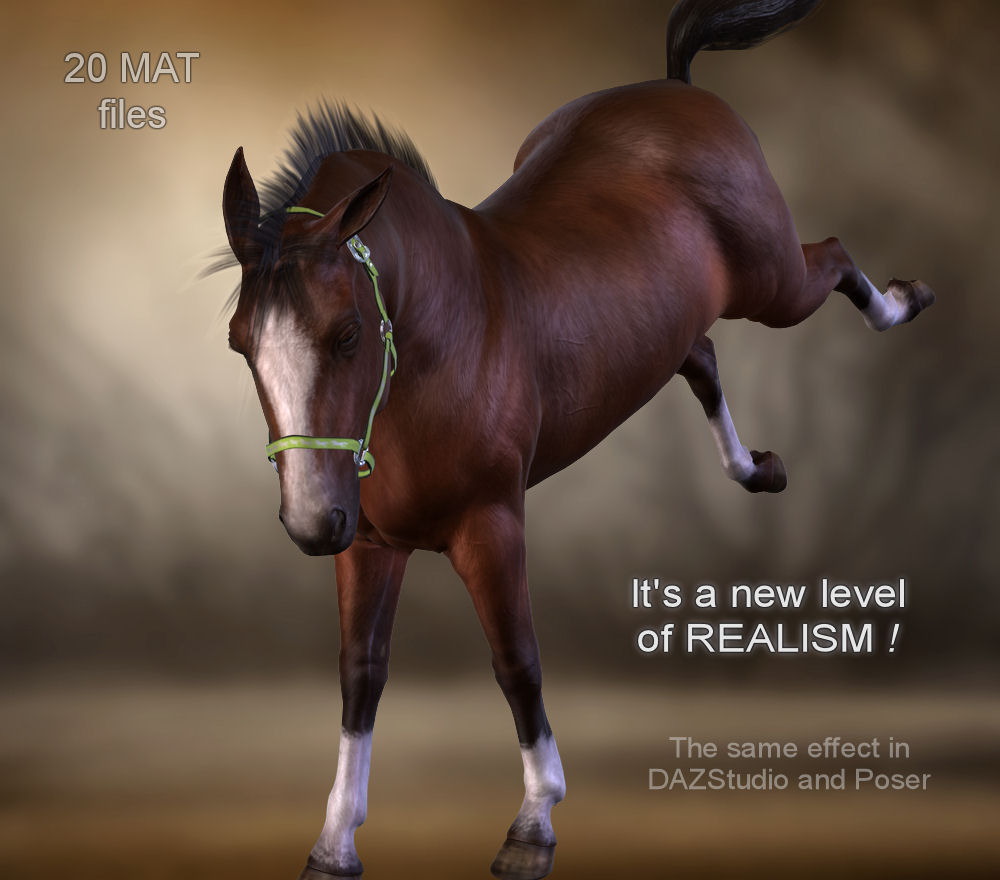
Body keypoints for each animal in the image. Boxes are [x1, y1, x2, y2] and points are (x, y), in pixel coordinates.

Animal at [220, 1, 934, 877]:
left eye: (348, 333)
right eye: (239, 343)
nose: (312, 523)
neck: (436, 339)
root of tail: (677, 88)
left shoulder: (490, 523)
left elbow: (516, 662)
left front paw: (533, 824)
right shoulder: (374, 544)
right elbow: (361, 675)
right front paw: (333, 843)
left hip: (772, 283)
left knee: (829, 259)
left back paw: (905, 302)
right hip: (677, 318)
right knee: (700, 356)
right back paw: (758, 469)